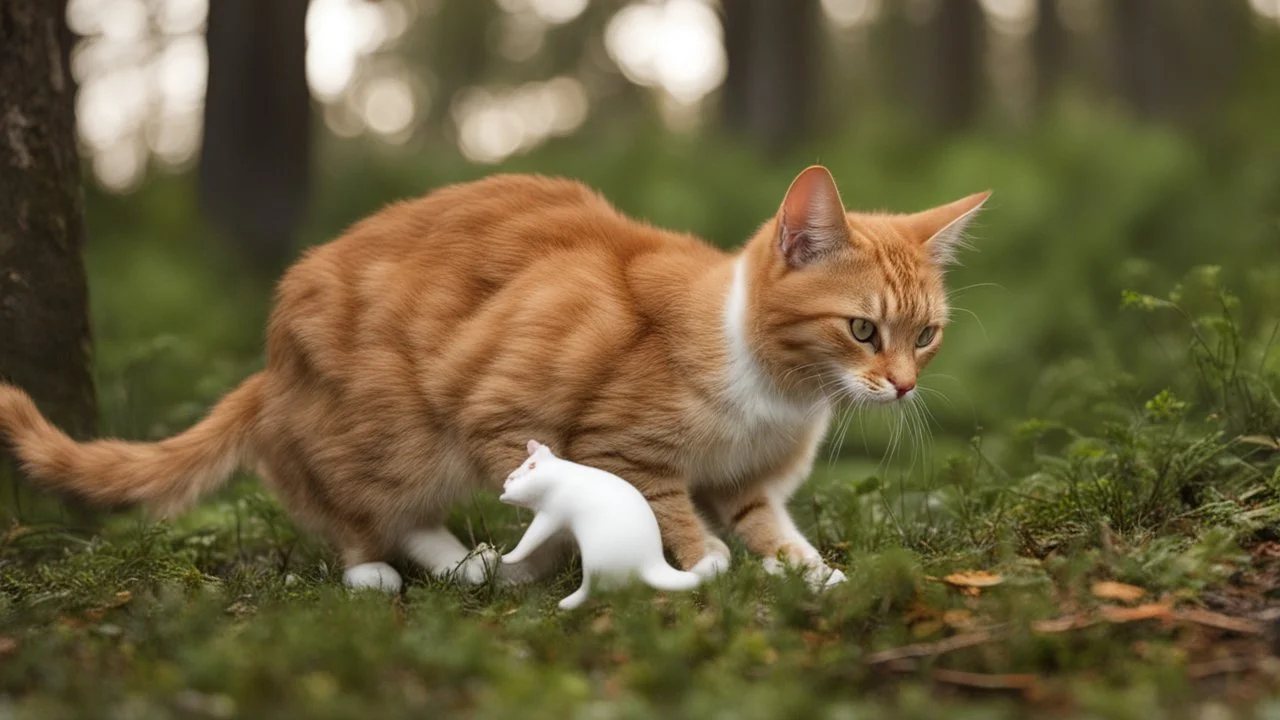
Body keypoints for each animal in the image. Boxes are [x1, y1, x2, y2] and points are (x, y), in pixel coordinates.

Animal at [0, 166, 988, 589]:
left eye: (926, 336)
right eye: (862, 330)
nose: (902, 385)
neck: (778, 394)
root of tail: (268, 370)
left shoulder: (747, 484)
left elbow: (773, 532)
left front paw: (815, 578)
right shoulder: (613, 449)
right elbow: (670, 515)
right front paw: (702, 566)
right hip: (401, 435)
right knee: (357, 514)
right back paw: (407, 571)